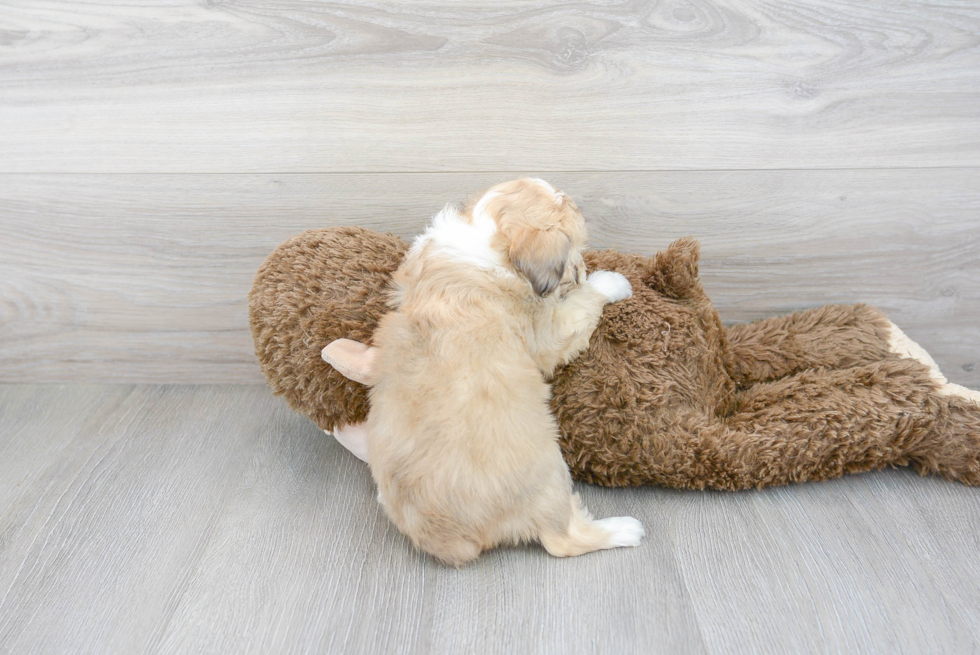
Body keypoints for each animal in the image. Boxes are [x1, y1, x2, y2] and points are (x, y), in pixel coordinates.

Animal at [366, 179, 636, 568]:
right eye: (575, 253)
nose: (583, 268)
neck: (487, 242)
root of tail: (453, 540)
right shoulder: (548, 333)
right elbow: (583, 304)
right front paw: (610, 281)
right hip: (552, 474)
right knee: (565, 540)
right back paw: (623, 529)